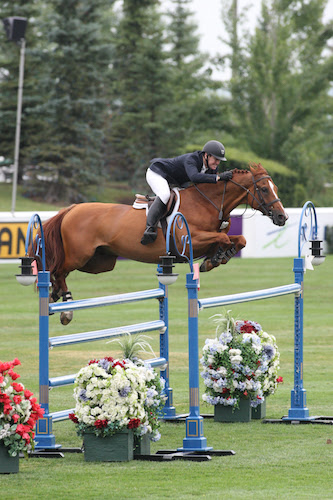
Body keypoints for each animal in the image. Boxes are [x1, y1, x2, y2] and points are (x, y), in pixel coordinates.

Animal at [35, 165, 286, 324]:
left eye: (275, 188)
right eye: (264, 189)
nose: (282, 217)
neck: (208, 203)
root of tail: (72, 208)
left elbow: (238, 240)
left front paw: (217, 258)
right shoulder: (191, 240)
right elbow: (223, 239)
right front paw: (214, 259)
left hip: (99, 262)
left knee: (60, 271)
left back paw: (55, 296)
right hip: (80, 255)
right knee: (59, 270)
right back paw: (65, 308)